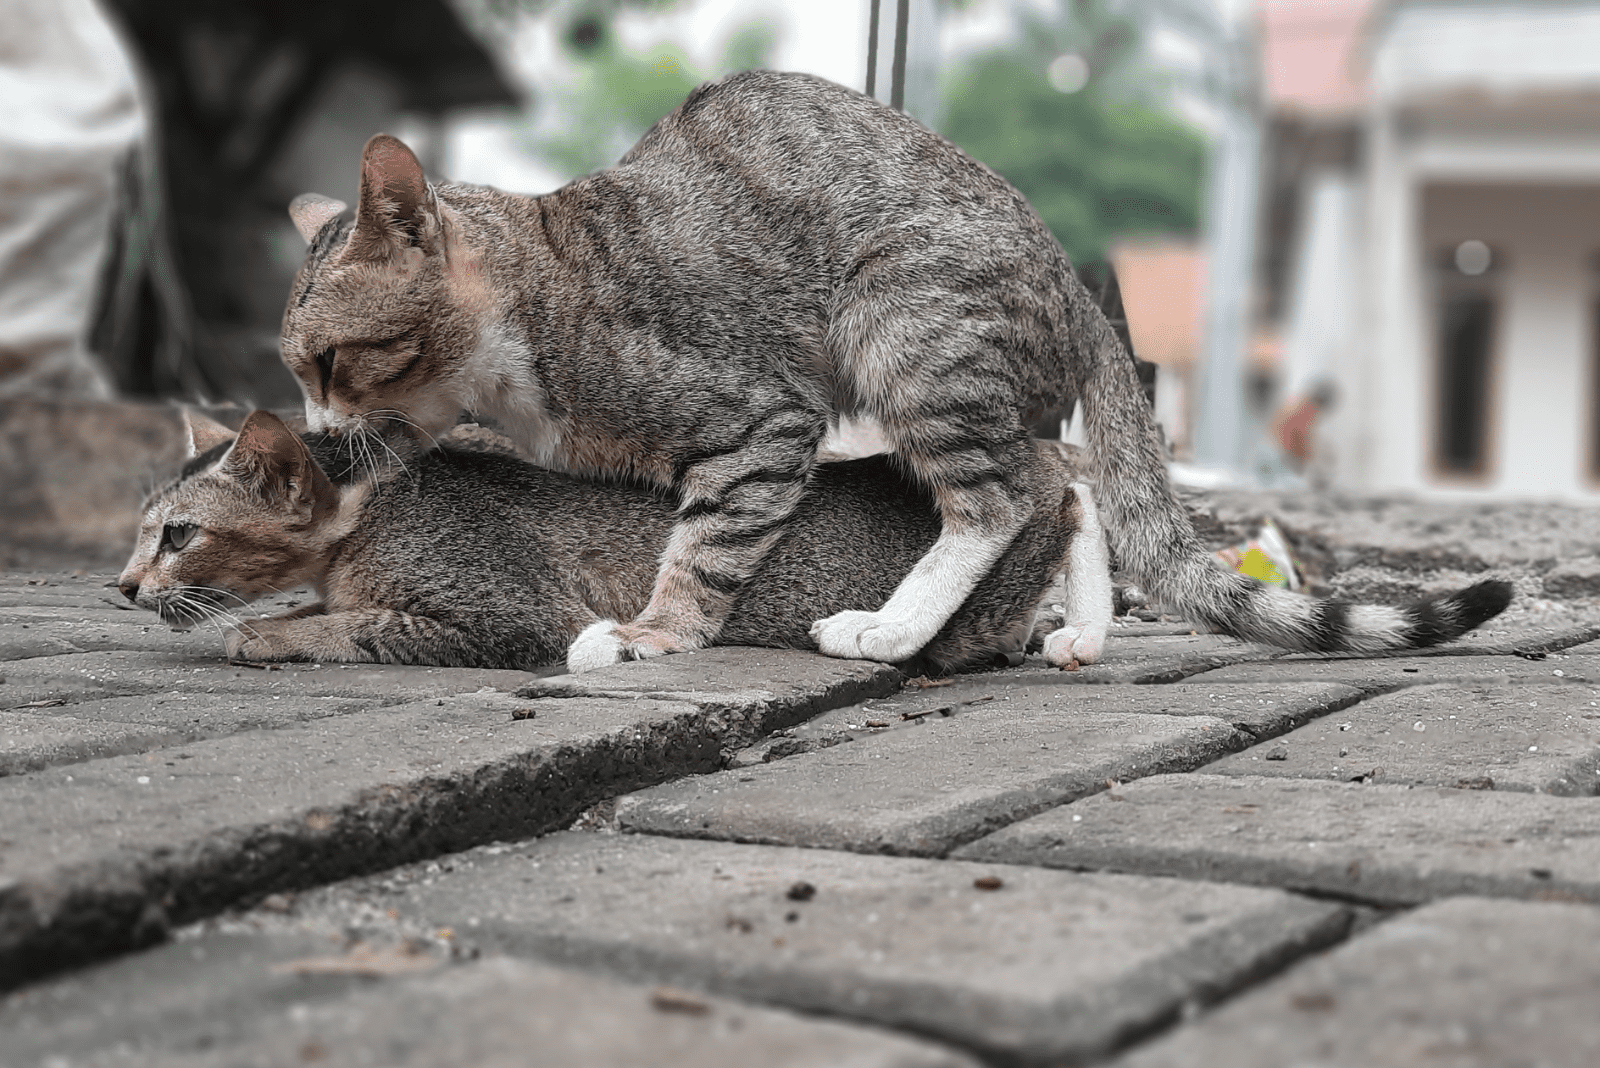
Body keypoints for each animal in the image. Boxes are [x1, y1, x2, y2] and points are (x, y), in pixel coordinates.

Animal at [116, 412, 1113, 674]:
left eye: (178, 535)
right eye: (140, 534)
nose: (120, 587)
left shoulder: (509, 614)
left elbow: (355, 625)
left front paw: (263, 632)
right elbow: (332, 611)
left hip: (980, 589)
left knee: (1065, 490)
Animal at [284, 70, 1510, 661]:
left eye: (334, 361)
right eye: (295, 370)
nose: (311, 434)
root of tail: (1072, 278)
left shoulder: (759, 417)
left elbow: (706, 547)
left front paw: (651, 635)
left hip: (905, 324)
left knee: (1005, 494)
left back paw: (888, 629)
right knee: (1068, 478)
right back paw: (1083, 631)